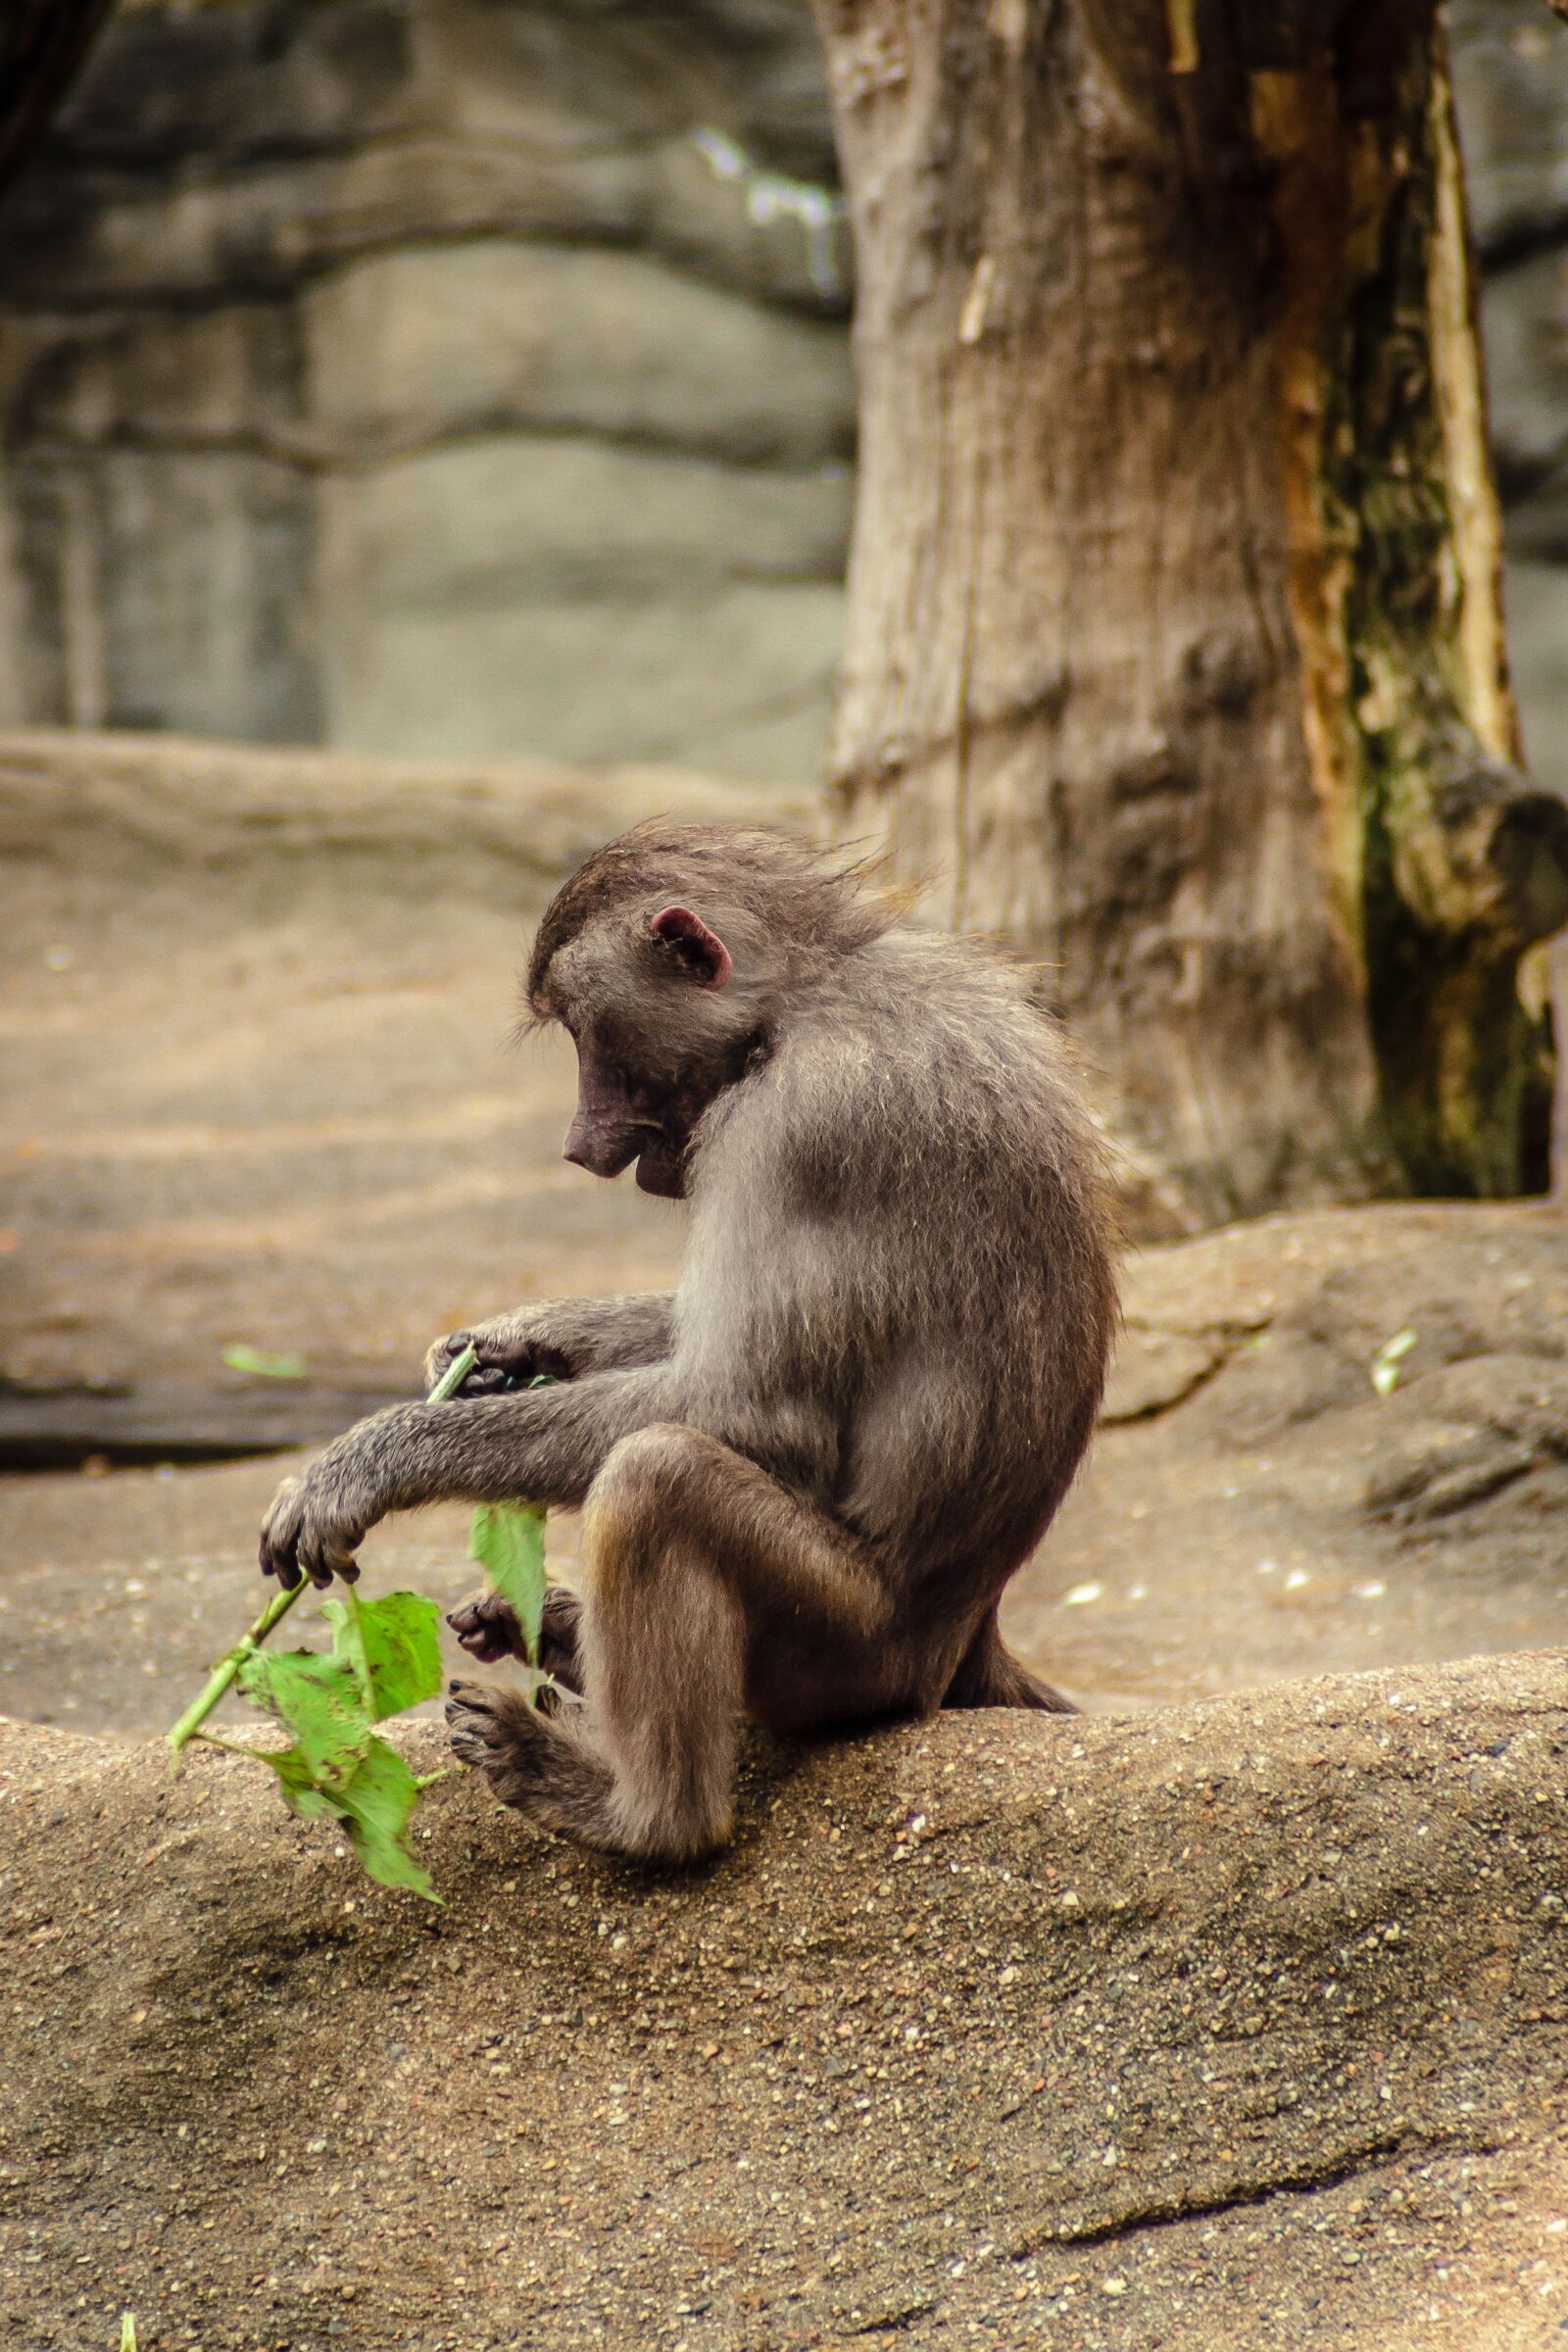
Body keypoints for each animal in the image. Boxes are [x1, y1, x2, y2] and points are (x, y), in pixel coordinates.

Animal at [258, 823, 1118, 1864]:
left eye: (585, 1032)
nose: (578, 1148)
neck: (805, 998)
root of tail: (964, 1650)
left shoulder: (796, 1129)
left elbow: (747, 1404)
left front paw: (369, 1461)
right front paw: (504, 1349)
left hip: (846, 1654)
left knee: (656, 1480)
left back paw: (635, 1812)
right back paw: (561, 1640)